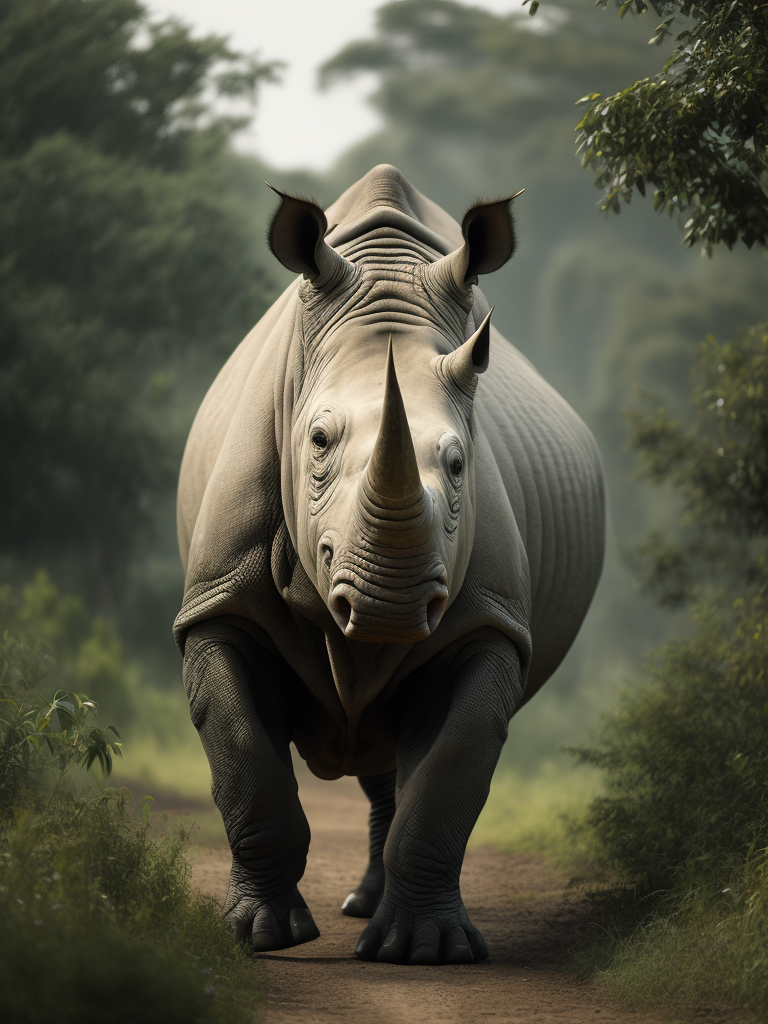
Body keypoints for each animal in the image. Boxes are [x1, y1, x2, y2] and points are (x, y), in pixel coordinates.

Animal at [175, 164, 604, 965]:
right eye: (316, 442)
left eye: (461, 463)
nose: (390, 603)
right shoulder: (219, 602)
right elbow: (244, 759)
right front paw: (259, 937)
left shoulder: (486, 621)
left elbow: (451, 769)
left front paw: (424, 950)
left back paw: (373, 911)